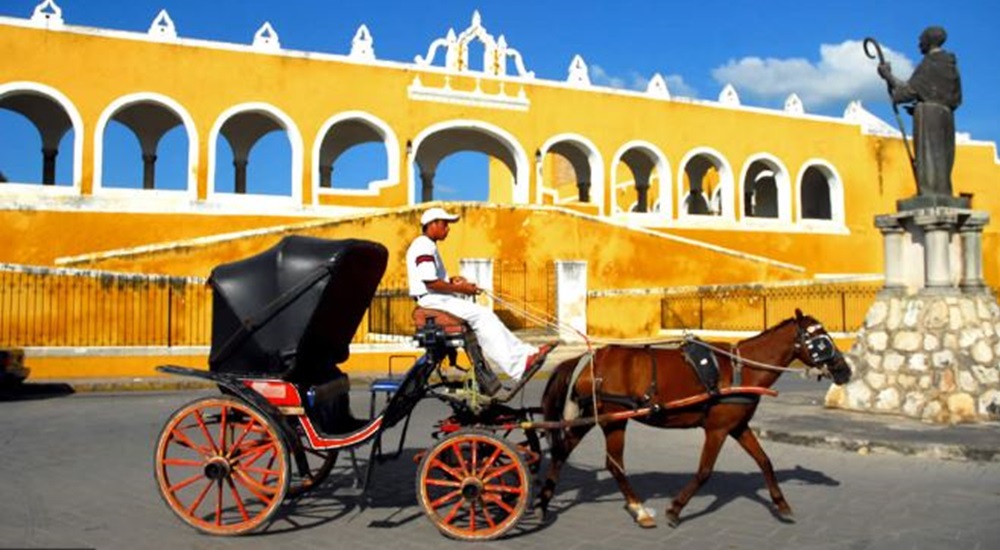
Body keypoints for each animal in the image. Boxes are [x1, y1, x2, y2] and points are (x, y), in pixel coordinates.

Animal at [540, 310, 852, 532]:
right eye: (821, 341)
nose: (845, 370)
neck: (741, 369)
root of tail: (587, 359)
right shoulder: (717, 429)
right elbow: (704, 471)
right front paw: (675, 509)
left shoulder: (738, 427)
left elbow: (765, 462)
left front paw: (781, 503)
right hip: (615, 419)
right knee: (613, 465)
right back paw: (639, 510)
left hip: (590, 416)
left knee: (562, 452)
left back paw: (544, 500)